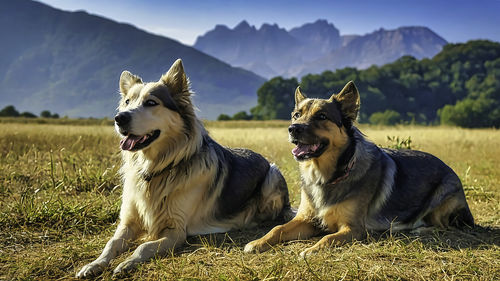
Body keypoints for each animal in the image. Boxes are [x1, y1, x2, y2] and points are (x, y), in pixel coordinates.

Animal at [244, 80, 474, 255]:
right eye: (296, 115)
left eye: (321, 116)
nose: (293, 129)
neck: (328, 176)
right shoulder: (306, 219)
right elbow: (278, 228)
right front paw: (257, 243)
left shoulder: (353, 228)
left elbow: (327, 238)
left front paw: (311, 250)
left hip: (442, 197)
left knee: (445, 226)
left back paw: (420, 230)